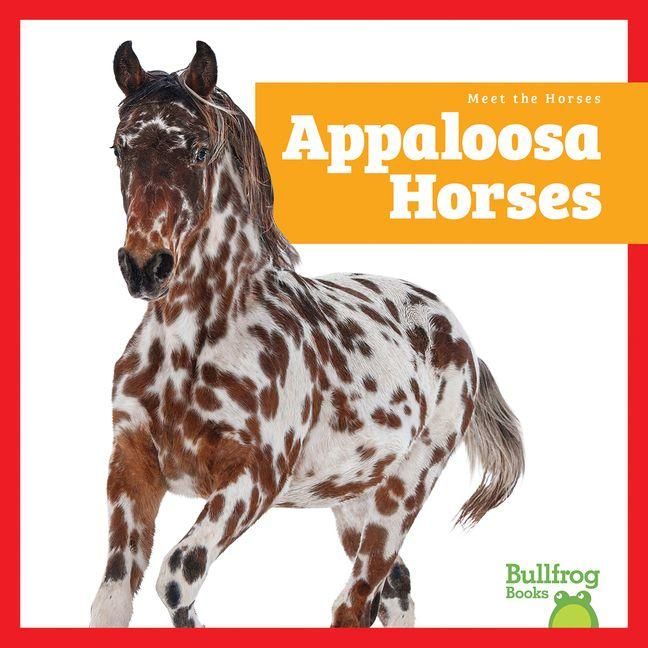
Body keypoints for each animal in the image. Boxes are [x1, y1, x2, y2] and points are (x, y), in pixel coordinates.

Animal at [90, 41, 524, 628]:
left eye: (199, 150)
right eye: (120, 148)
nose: (144, 266)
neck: (192, 348)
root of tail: (456, 333)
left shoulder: (254, 478)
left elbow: (178, 577)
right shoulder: (133, 467)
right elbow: (113, 601)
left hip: (403, 491)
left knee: (354, 602)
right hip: (352, 500)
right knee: (393, 592)